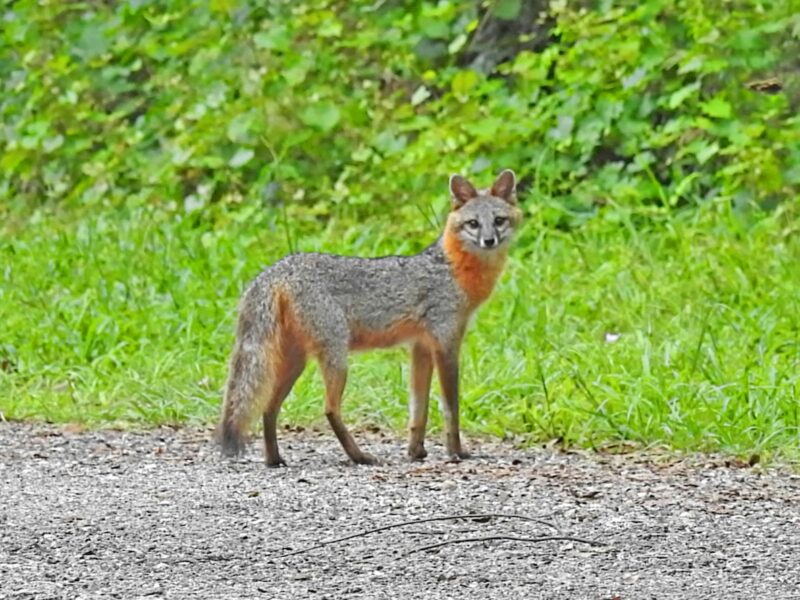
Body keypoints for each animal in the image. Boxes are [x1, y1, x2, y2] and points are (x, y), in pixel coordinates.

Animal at [218, 169, 522, 466]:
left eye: (498, 220)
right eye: (473, 223)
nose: (489, 241)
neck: (453, 269)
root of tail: (279, 268)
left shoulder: (421, 347)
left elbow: (418, 409)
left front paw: (416, 451)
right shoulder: (446, 344)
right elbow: (451, 408)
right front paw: (455, 452)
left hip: (295, 362)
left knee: (269, 408)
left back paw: (274, 459)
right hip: (336, 360)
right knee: (329, 409)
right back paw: (359, 456)